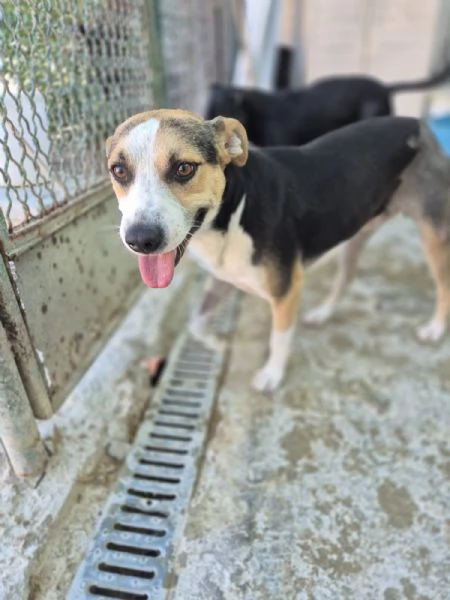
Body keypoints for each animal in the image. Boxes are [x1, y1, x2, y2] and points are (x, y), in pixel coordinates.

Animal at [106, 110, 450, 392]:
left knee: (443, 285)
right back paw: (323, 313)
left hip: (433, 236)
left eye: (184, 168)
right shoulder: (226, 276)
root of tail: (418, 124)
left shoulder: (286, 288)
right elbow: (196, 322)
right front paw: (219, 343)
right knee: (345, 279)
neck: (235, 210)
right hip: (355, 235)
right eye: (119, 171)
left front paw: (271, 376)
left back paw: (434, 329)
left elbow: (279, 337)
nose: (140, 239)